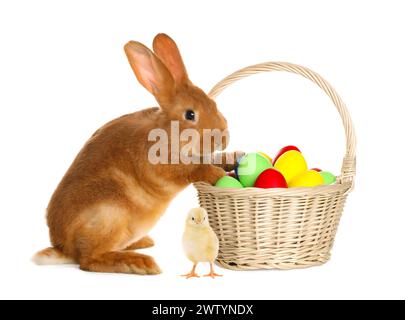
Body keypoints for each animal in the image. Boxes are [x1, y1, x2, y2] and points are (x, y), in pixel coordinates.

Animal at [34, 34, 240, 276]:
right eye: (190, 114)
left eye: (213, 103)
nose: (224, 137)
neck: (168, 133)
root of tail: (63, 248)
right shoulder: (164, 167)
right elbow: (195, 169)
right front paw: (218, 175)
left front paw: (234, 158)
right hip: (109, 215)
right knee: (89, 260)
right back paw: (141, 263)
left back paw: (142, 243)